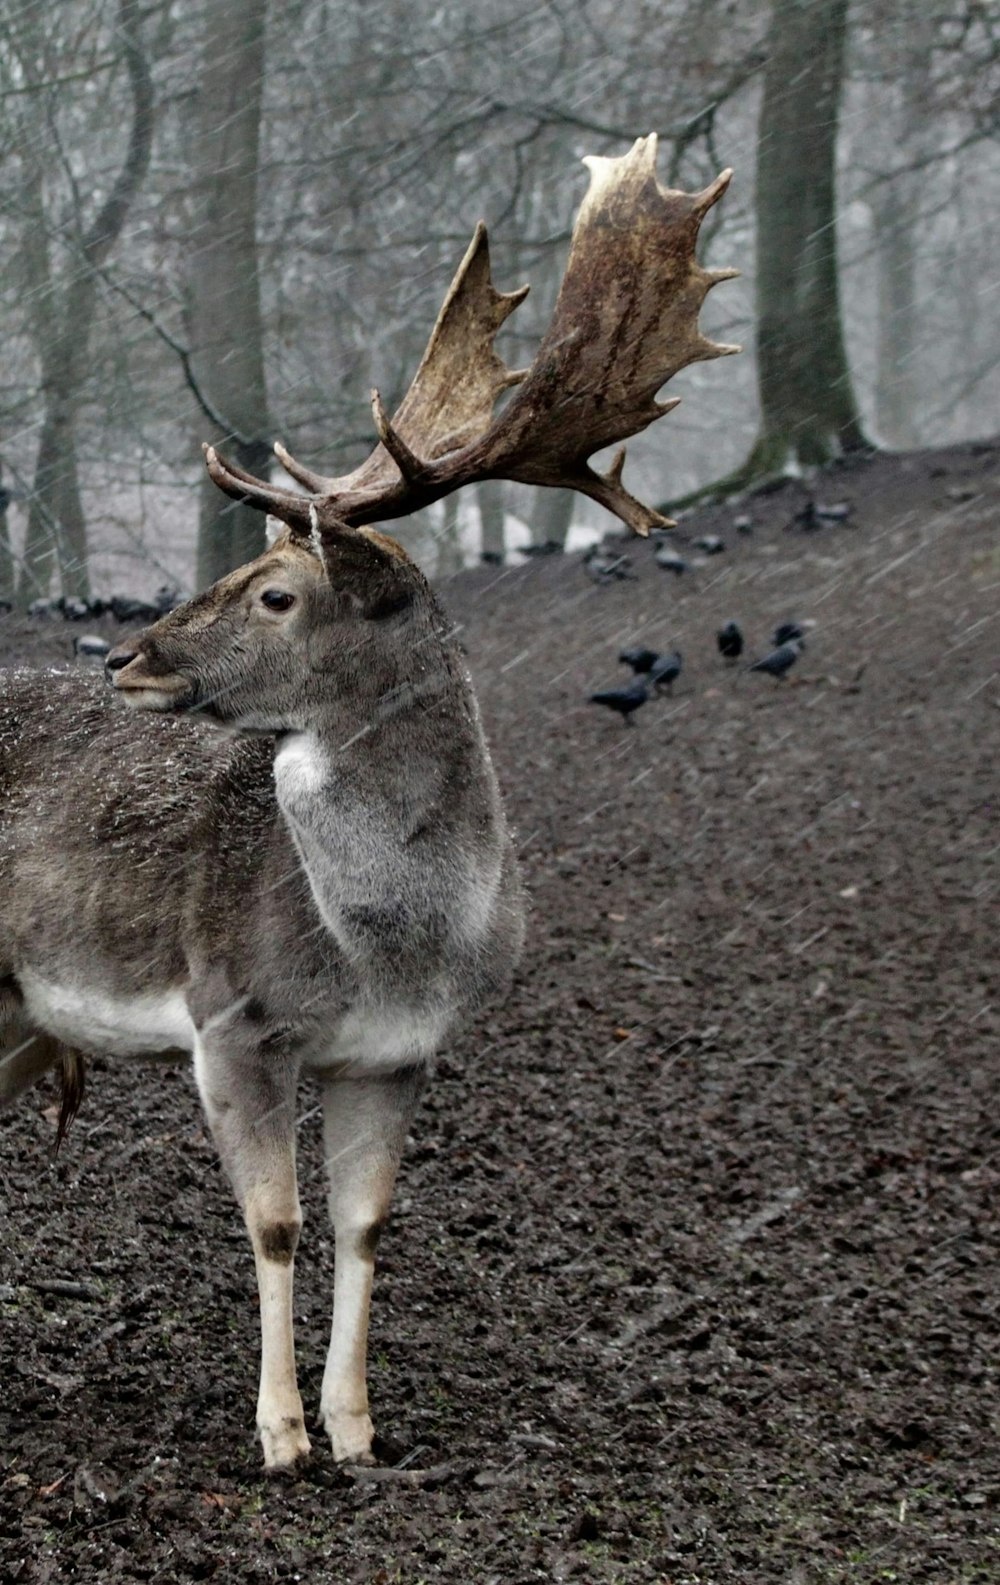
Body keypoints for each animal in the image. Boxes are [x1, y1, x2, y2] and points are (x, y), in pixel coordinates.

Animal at [0, 136, 735, 1470]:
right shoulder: (231, 1017)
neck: (387, 947)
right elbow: (277, 1225)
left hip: (18, 1014)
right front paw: (280, 1434)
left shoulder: (399, 1056)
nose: (125, 656)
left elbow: (363, 1226)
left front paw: (355, 1429)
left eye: (277, 592)